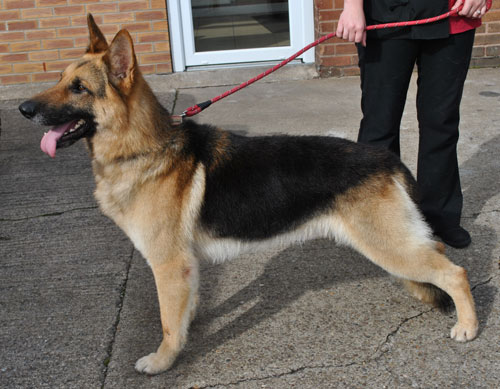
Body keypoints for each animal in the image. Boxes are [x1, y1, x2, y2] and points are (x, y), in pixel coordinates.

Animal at [19, 14, 478, 372]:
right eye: (60, 79)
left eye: (78, 88)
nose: (23, 109)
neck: (143, 147)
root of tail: (384, 158)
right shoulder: (184, 269)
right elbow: (183, 312)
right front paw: (186, 333)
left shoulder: (168, 265)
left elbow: (167, 321)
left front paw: (164, 360)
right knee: (437, 255)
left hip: (387, 245)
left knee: (455, 272)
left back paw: (468, 326)